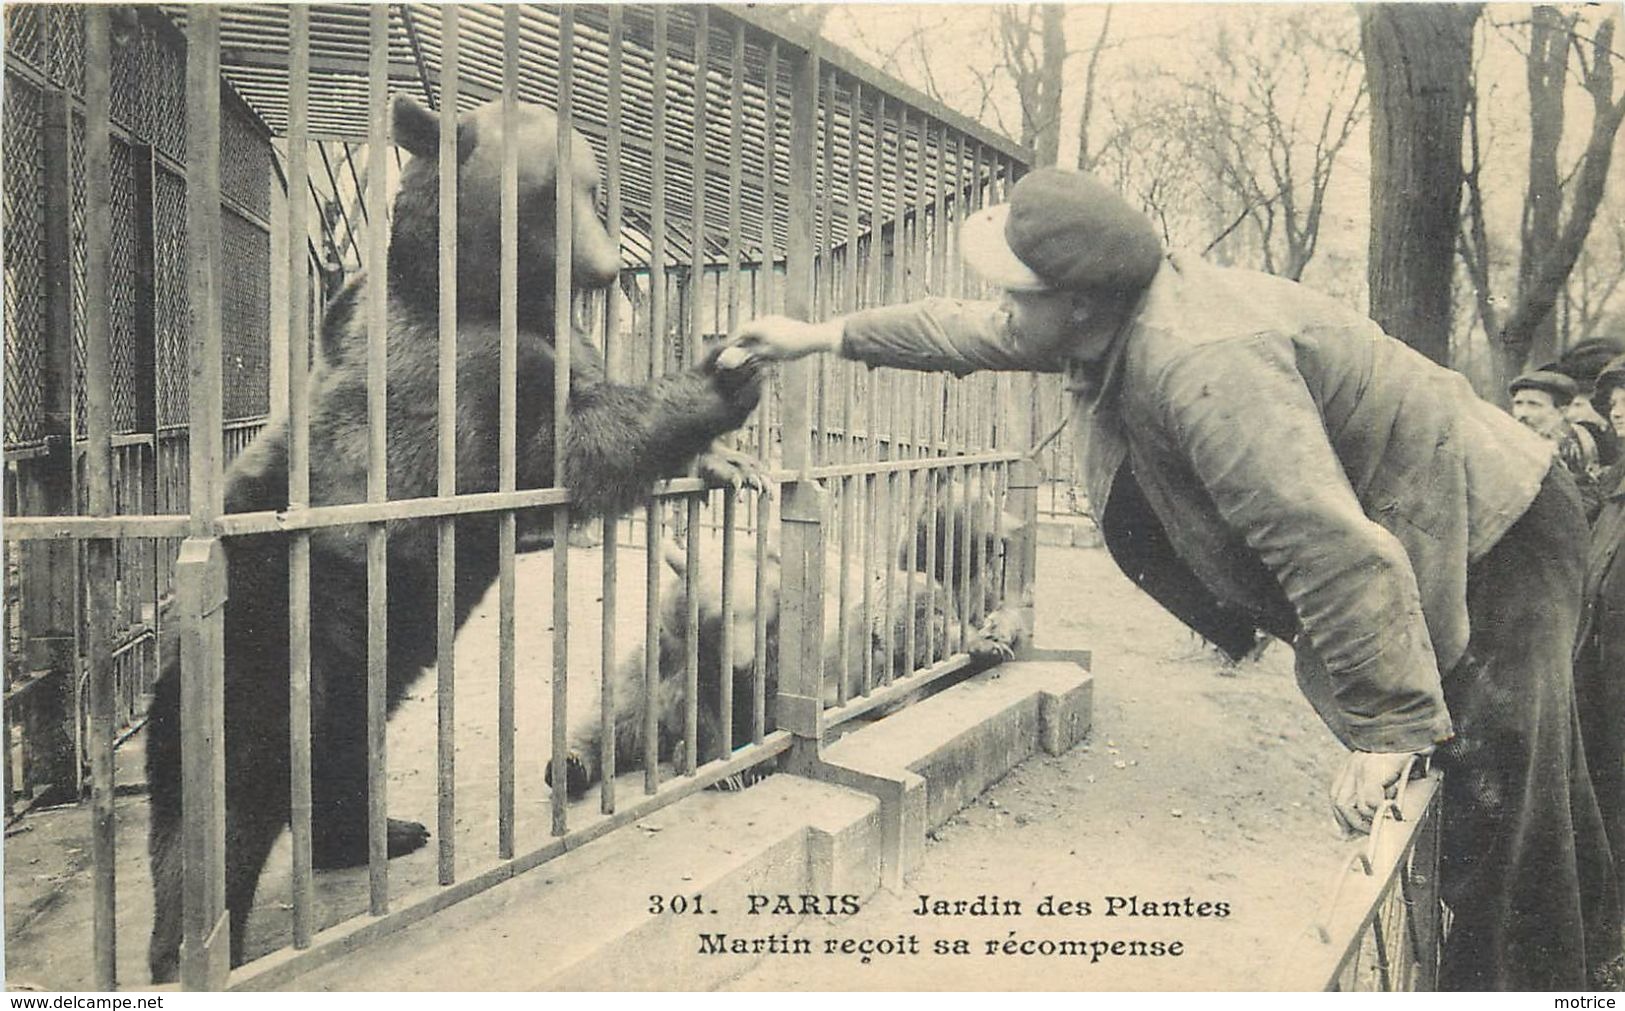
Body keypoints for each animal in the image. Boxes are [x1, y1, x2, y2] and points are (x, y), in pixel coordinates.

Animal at [143, 93, 763, 981]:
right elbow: (570, 442)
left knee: (341, 742)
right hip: (273, 615)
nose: (607, 267)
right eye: (552, 192)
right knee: (228, 776)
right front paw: (723, 374)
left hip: (358, 646)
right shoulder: (454, 383)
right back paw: (189, 946)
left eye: (596, 189)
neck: (487, 291)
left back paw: (380, 833)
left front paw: (730, 461)